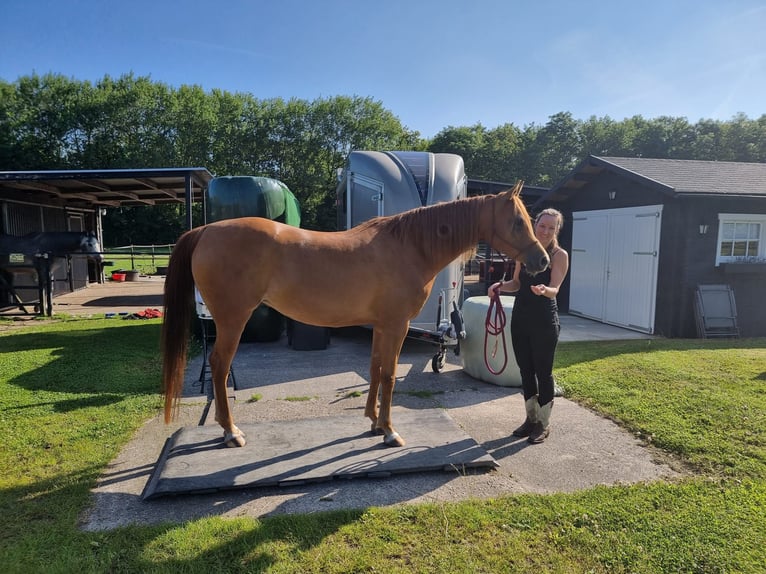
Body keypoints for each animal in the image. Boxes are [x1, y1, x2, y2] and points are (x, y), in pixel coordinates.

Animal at [162, 180, 548, 450]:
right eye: (517, 221)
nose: (542, 261)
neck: (410, 246)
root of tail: (206, 230)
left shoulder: (380, 326)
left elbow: (375, 369)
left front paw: (374, 422)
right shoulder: (396, 325)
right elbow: (390, 375)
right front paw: (390, 432)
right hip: (233, 320)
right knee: (219, 365)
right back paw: (231, 432)